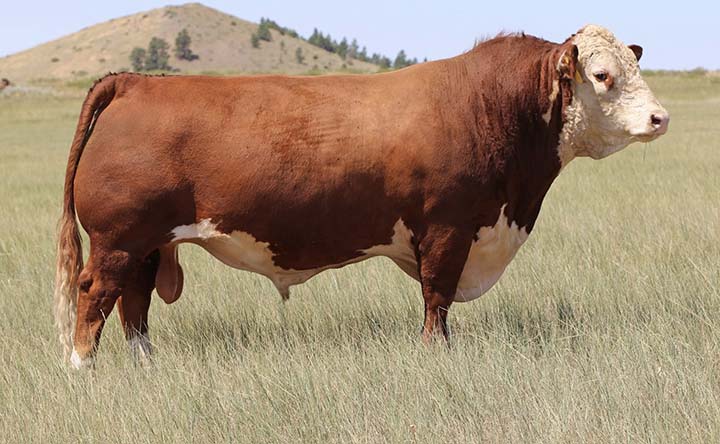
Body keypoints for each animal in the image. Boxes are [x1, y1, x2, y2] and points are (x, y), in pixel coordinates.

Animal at [54, 25, 669, 369]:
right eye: (603, 75)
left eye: (634, 64)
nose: (660, 117)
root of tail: (135, 81)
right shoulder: (447, 230)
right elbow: (436, 300)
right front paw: (436, 356)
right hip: (117, 240)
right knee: (95, 295)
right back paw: (81, 367)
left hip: (145, 245)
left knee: (134, 305)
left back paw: (145, 365)